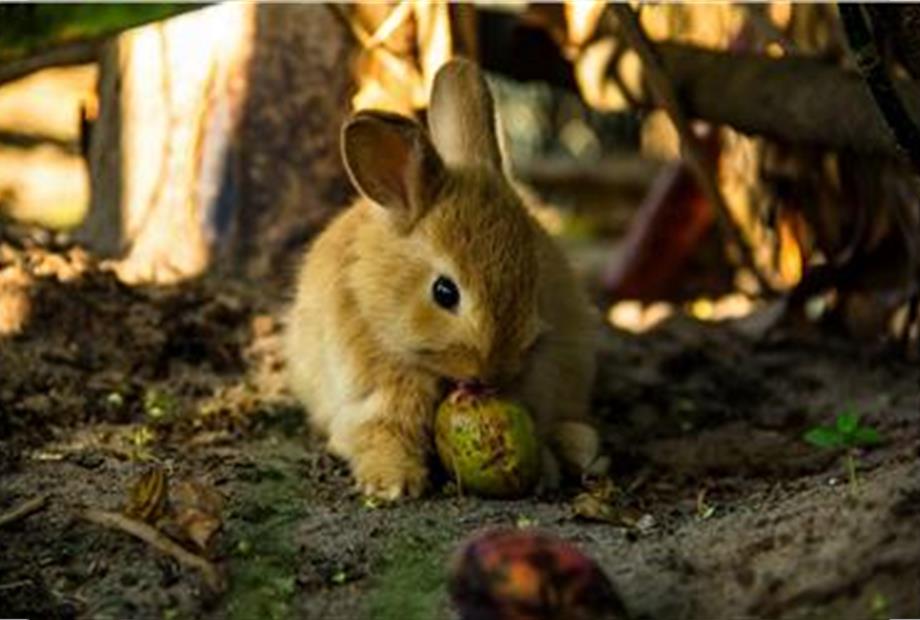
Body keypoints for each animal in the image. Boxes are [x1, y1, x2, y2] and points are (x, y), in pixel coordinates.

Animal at [284, 58, 604, 500]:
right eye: (444, 292)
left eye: (534, 281)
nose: (493, 374)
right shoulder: (371, 402)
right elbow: (378, 434)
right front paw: (392, 483)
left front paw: (545, 472)